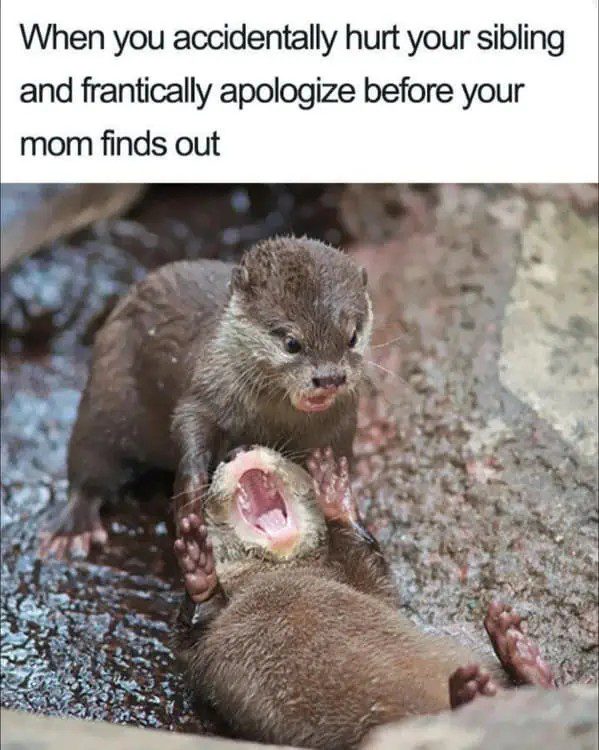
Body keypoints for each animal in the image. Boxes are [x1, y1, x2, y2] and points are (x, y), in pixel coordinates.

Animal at [39, 237, 372, 559]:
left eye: (352, 337)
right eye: (292, 343)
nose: (330, 378)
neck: (270, 422)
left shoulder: (342, 427)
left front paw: (332, 488)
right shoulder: (206, 390)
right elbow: (188, 423)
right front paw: (192, 493)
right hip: (105, 397)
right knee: (89, 463)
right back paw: (73, 529)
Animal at [172, 446, 557, 750]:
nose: (236, 450)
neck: (275, 576)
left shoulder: (367, 585)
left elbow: (372, 567)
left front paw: (336, 496)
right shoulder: (199, 655)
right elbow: (193, 632)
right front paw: (199, 568)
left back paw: (516, 653)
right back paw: (480, 686)